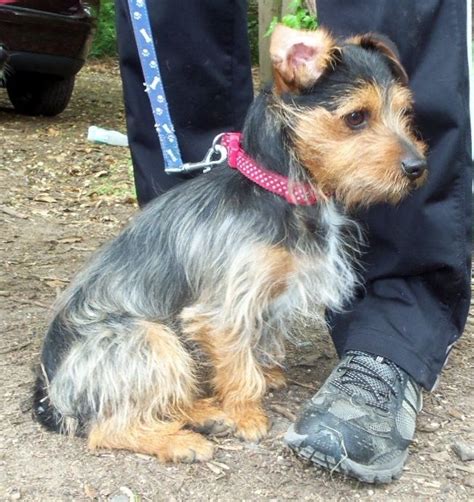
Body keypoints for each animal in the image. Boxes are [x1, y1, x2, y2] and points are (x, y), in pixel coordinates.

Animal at [32, 25, 426, 460]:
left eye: (404, 114)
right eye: (356, 117)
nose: (418, 167)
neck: (272, 189)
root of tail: (51, 392)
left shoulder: (270, 293)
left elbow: (261, 340)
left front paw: (266, 374)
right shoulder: (223, 309)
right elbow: (239, 364)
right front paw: (246, 413)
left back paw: (203, 413)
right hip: (148, 338)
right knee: (108, 428)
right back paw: (181, 441)